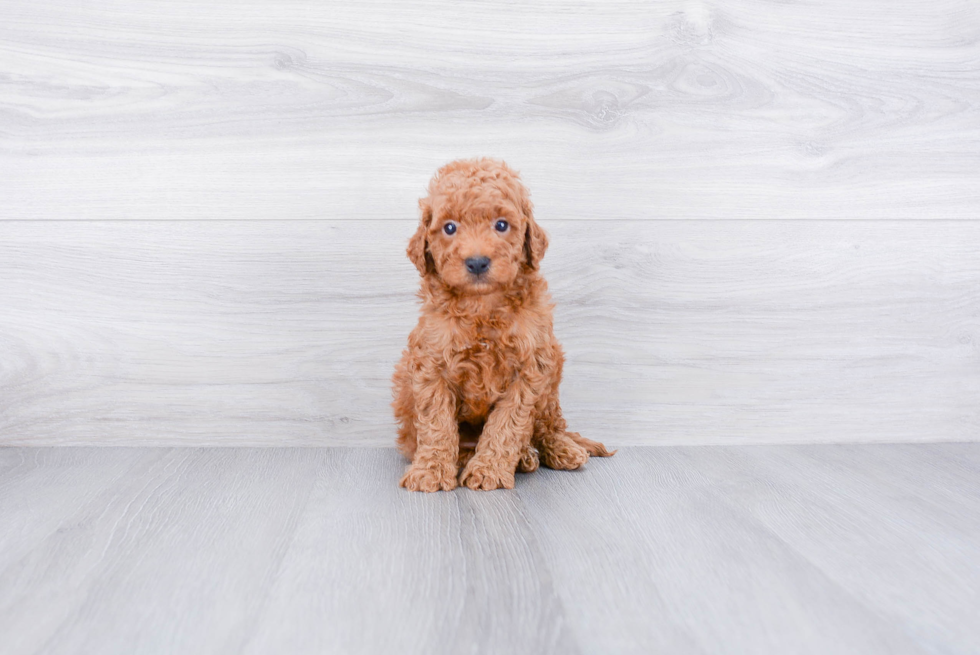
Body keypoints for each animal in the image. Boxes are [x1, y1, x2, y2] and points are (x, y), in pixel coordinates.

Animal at [392, 158, 612, 492]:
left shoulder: (531, 368)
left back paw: (555, 450)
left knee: (548, 425)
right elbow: (436, 423)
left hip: (552, 376)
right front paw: (430, 470)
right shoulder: (430, 364)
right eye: (449, 227)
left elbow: (508, 424)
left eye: (501, 225)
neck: (482, 306)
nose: (477, 262)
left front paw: (489, 471)